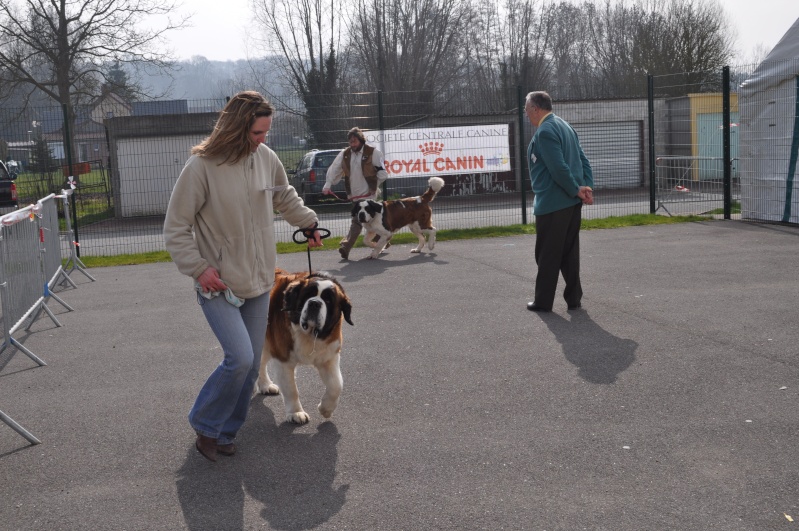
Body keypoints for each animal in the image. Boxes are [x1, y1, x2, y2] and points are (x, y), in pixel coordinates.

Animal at [260, 270, 354, 424]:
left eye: (328, 300)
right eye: (307, 295)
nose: (315, 303)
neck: (309, 334)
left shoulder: (329, 357)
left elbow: (336, 385)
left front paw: (326, 409)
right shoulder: (283, 359)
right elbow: (291, 389)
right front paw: (296, 412)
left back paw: (265, 385)